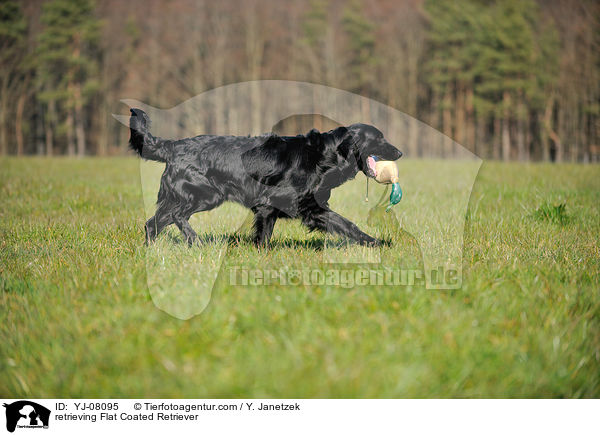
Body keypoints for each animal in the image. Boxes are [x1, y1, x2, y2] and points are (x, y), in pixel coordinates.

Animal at [128, 109, 400, 249]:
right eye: (379, 138)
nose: (400, 152)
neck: (325, 156)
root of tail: (172, 146)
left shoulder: (280, 207)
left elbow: (264, 234)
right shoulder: (290, 204)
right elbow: (346, 224)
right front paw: (378, 242)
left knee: (152, 223)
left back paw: (151, 251)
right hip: (206, 194)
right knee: (176, 216)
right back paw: (195, 241)